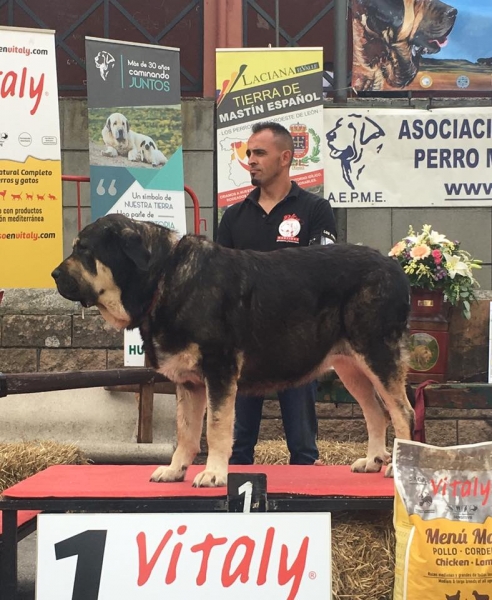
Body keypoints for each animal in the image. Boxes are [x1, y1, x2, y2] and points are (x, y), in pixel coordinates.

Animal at [52, 216, 416, 488]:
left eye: (84, 249)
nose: (53, 274)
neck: (164, 277)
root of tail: (395, 267)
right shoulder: (188, 381)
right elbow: (185, 431)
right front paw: (174, 470)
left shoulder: (220, 369)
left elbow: (215, 426)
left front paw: (213, 474)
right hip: (350, 366)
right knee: (375, 411)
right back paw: (373, 460)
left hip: (377, 353)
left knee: (402, 411)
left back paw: (398, 468)